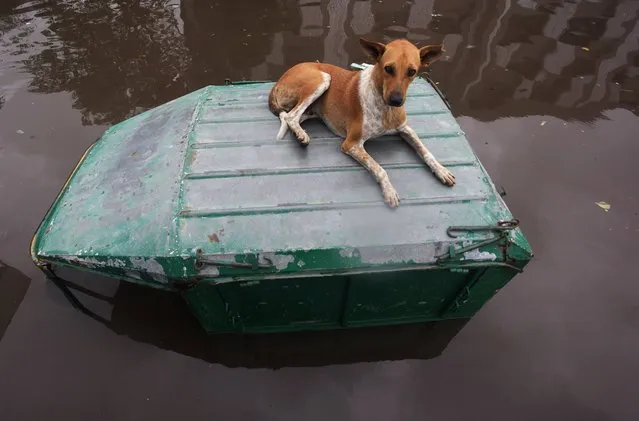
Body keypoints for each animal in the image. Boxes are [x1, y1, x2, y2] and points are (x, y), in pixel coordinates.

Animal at [268, 37, 458, 208]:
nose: (396, 100)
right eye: (388, 68)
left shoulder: (405, 129)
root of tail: (279, 80)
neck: (385, 107)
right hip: (322, 79)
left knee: (291, 116)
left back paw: (299, 133)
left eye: (412, 72)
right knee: (290, 116)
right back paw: (302, 136)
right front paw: (389, 192)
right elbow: (379, 168)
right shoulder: (352, 144)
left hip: (312, 109)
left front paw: (441, 170)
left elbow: (426, 151)